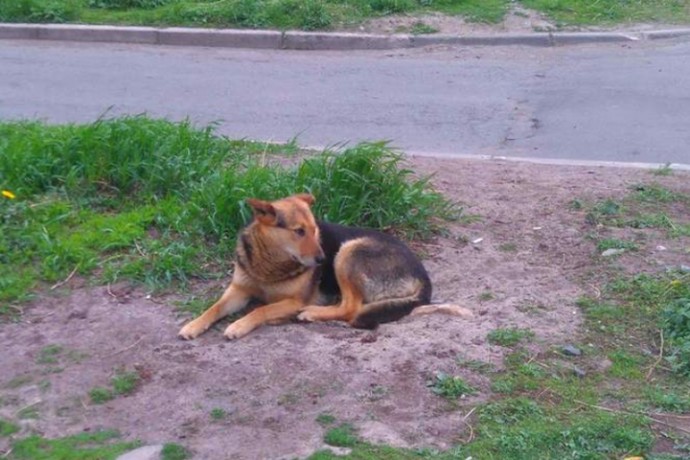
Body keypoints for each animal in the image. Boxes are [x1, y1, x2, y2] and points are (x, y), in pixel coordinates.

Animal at [177, 192, 468, 340]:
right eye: (299, 231)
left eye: (314, 229)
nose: (321, 259)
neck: (269, 265)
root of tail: (423, 276)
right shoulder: (238, 291)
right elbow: (214, 308)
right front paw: (193, 325)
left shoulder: (293, 300)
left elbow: (262, 309)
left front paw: (239, 325)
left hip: (348, 252)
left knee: (351, 308)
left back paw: (311, 313)